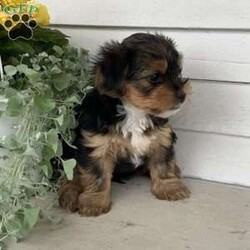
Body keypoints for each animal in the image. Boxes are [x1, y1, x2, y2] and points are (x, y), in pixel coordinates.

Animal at [59, 33, 191, 216]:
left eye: (178, 72)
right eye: (154, 77)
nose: (182, 95)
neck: (135, 111)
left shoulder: (162, 139)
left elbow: (163, 164)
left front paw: (169, 187)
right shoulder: (96, 145)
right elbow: (97, 174)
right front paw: (94, 202)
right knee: (70, 173)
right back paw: (69, 194)